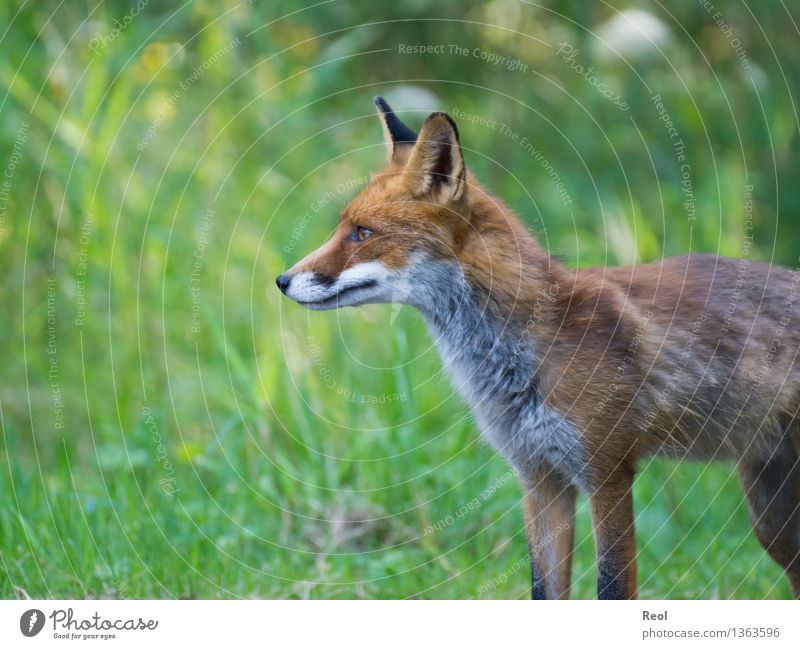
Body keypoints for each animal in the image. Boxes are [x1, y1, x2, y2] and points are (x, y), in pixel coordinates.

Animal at [276, 96, 800, 596]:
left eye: (362, 232)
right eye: (343, 227)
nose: (282, 280)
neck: (519, 361)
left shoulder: (607, 473)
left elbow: (611, 591)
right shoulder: (539, 478)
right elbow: (543, 592)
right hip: (772, 516)